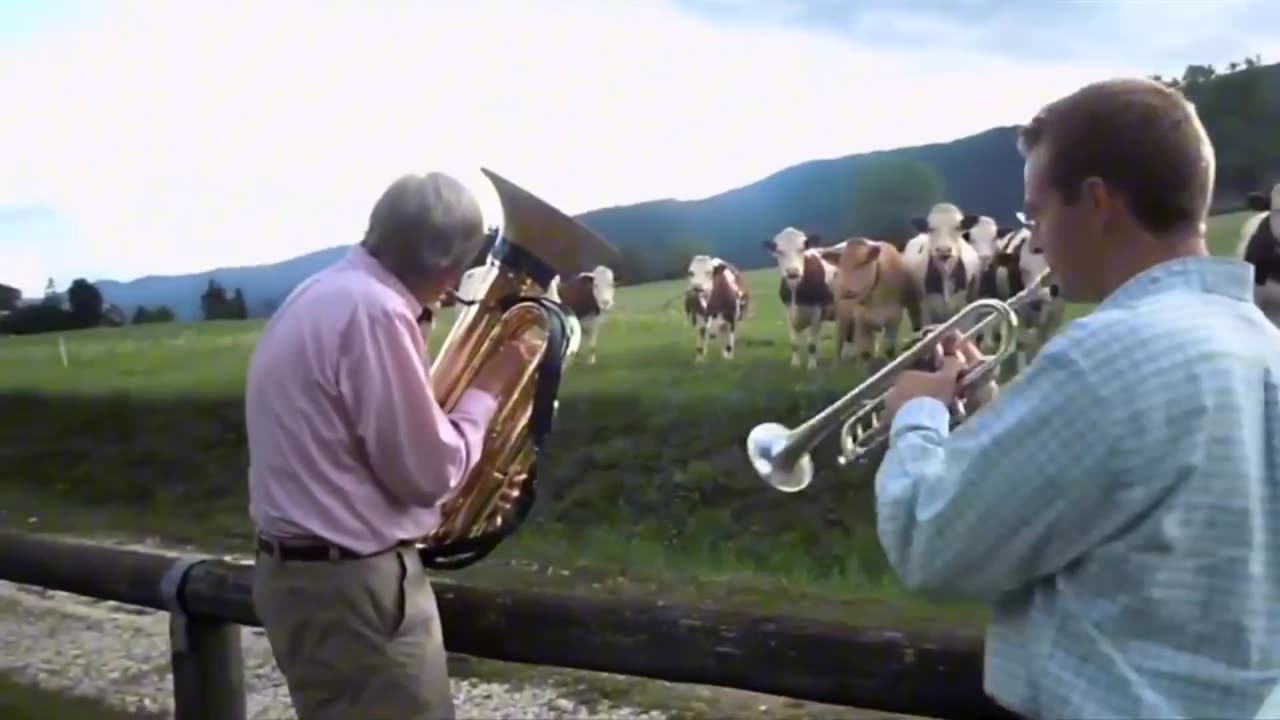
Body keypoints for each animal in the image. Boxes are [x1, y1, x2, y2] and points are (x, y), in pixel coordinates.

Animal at [757, 225, 839, 368]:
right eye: (779, 251)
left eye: (802, 249)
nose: (792, 272)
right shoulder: (789, 310)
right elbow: (794, 343)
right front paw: (795, 363)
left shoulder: (817, 310)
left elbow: (812, 344)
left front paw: (811, 365)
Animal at [824, 237, 916, 366]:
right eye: (841, 264)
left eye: (863, 262)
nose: (846, 293)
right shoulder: (861, 321)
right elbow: (865, 352)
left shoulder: (894, 318)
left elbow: (889, 348)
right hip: (843, 317)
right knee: (840, 340)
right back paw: (837, 365)